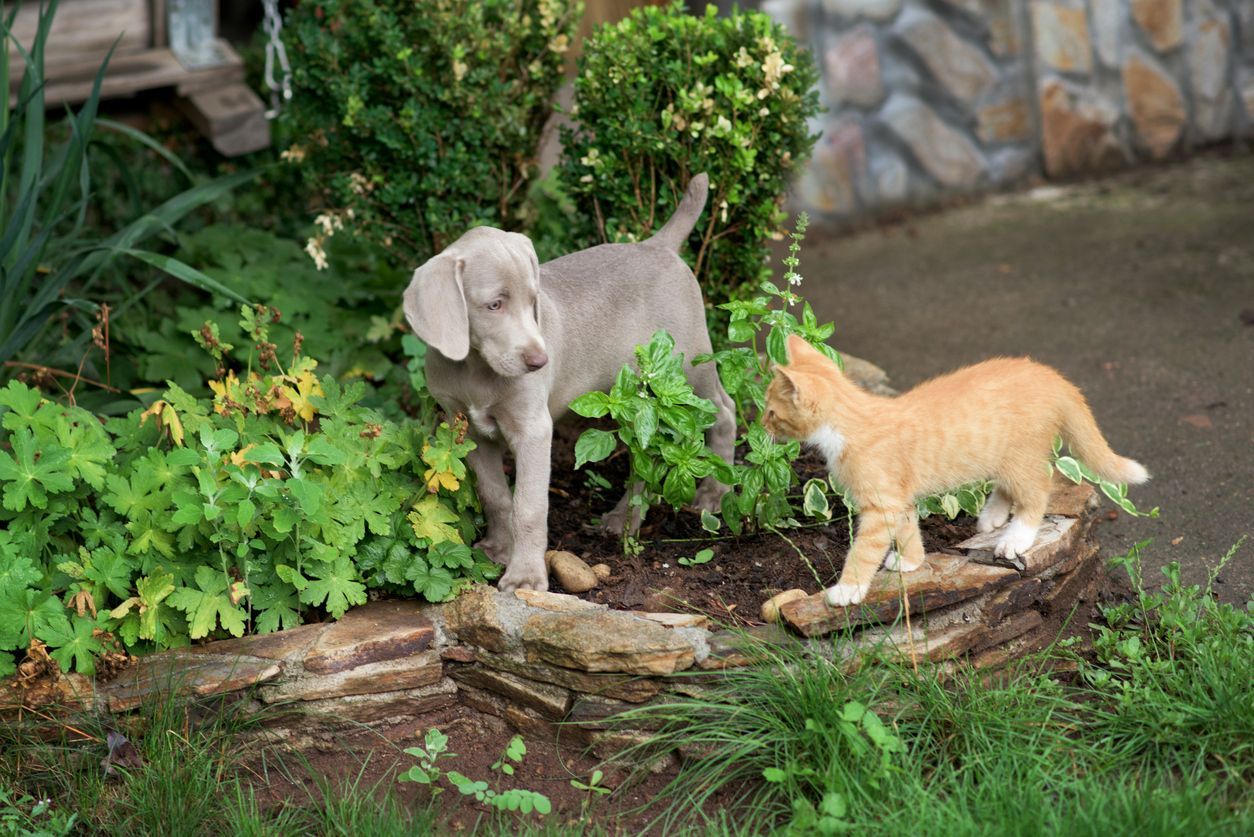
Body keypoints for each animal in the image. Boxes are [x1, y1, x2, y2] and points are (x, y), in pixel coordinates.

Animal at [401, 175, 732, 594]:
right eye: (494, 305)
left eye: (533, 300)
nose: (539, 362)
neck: (477, 368)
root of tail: (656, 245)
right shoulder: (466, 429)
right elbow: (496, 495)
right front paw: (499, 549)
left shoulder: (534, 429)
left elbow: (528, 506)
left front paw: (525, 577)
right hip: (632, 399)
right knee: (644, 455)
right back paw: (623, 519)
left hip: (687, 369)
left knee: (725, 412)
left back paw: (713, 494)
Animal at [757, 336, 1148, 609]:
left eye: (772, 412)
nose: (760, 425)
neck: (850, 423)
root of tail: (1051, 376)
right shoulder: (897, 499)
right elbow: (908, 525)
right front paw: (911, 561)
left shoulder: (881, 504)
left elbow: (864, 550)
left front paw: (846, 589)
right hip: (1002, 455)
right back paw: (992, 517)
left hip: (1020, 455)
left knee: (1039, 488)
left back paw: (1017, 536)